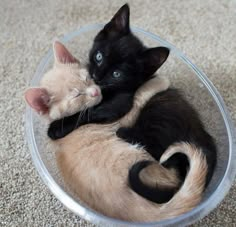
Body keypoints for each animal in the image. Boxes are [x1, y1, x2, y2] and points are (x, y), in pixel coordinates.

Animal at [24, 41, 207, 222]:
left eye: (86, 78)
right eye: (77, 96)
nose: (95, 91)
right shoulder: (120, 118)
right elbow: (139, 95)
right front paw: (158, 81)